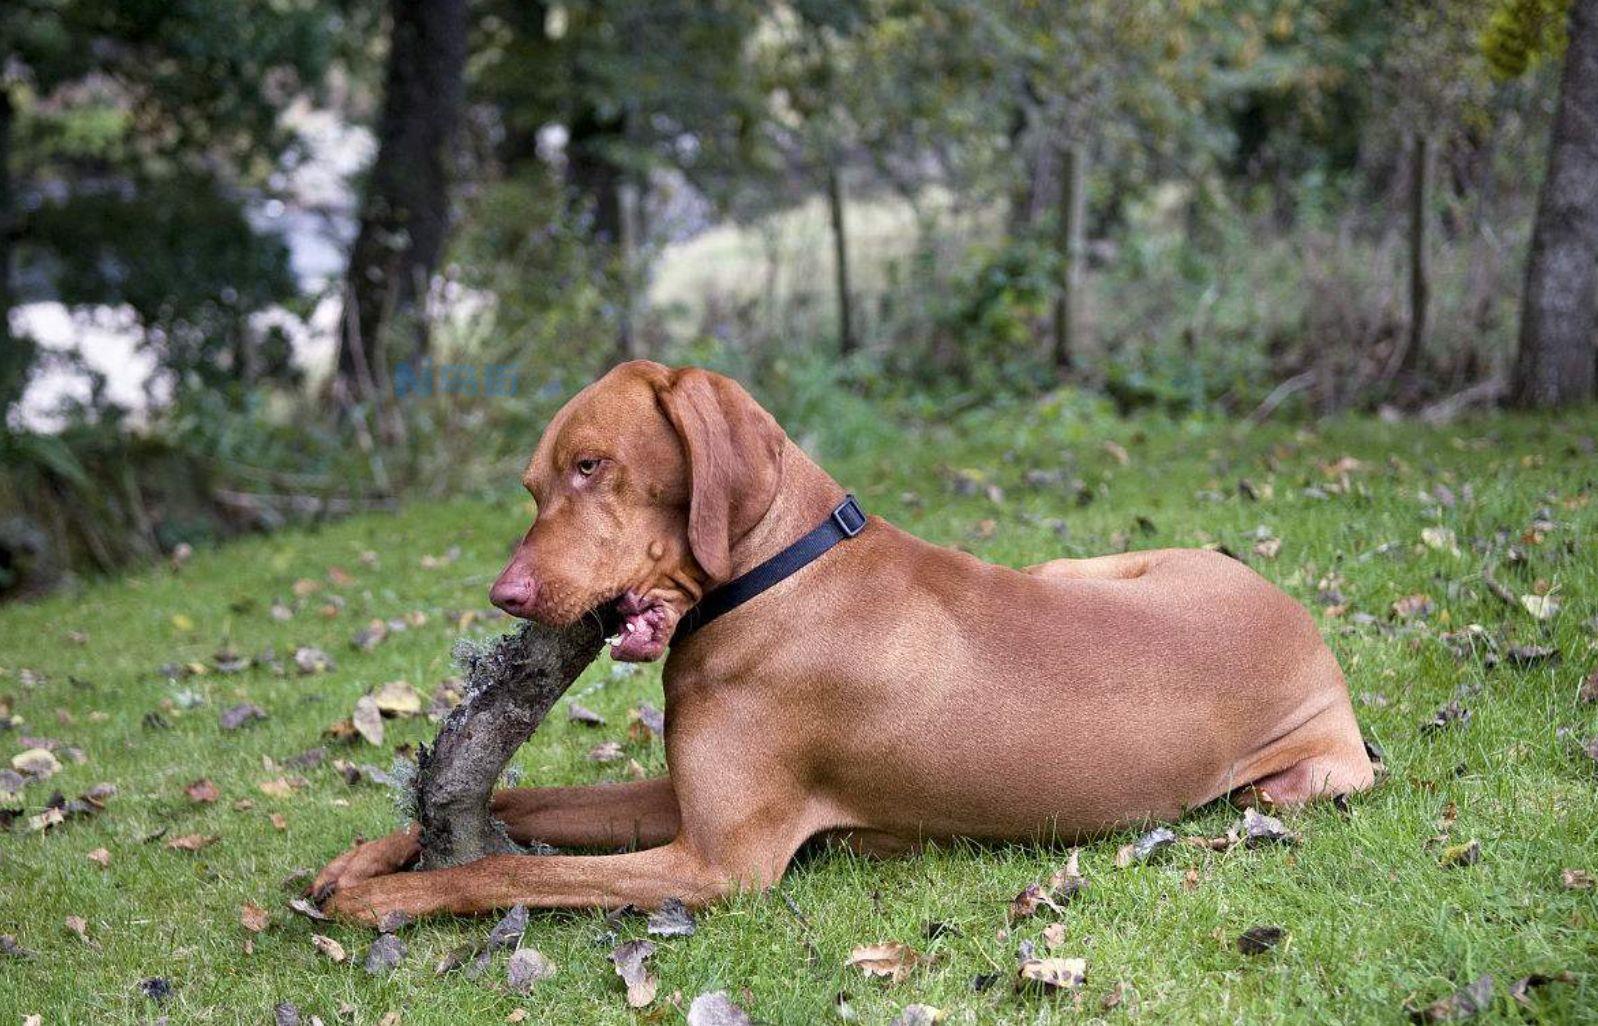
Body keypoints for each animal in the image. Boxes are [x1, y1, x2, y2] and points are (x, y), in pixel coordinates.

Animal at [314, 364, 1374, 920]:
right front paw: (369, 859)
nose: (507, 596)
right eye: (537, 485)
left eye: (590, 466)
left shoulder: (717, 864)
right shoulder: (678, 803)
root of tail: (1305, 623)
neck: (780, 569)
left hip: (1294, 784)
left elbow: (510, 865)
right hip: (1080, 565)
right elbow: (526, 800)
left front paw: (385, 900)